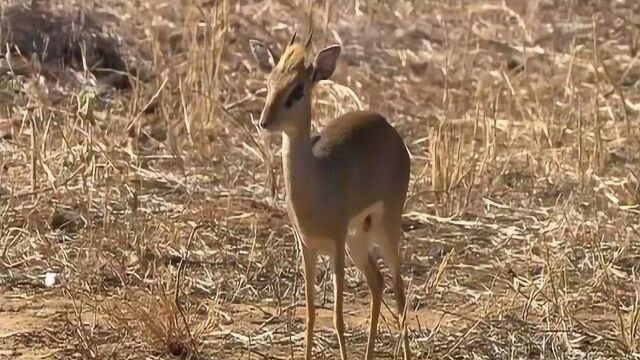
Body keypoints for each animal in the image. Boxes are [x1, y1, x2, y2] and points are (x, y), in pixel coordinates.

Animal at [250, 30, 410, 360]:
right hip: (357, 239)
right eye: (270, 82)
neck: (317, 182)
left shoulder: (335, 245)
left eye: (297, 90)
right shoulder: (307, 247)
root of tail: (387, 127)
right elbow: (311, 314)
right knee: (378, 282)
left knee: (399, 290)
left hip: (385, 228)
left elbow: (337, 317)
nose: (264, 121)